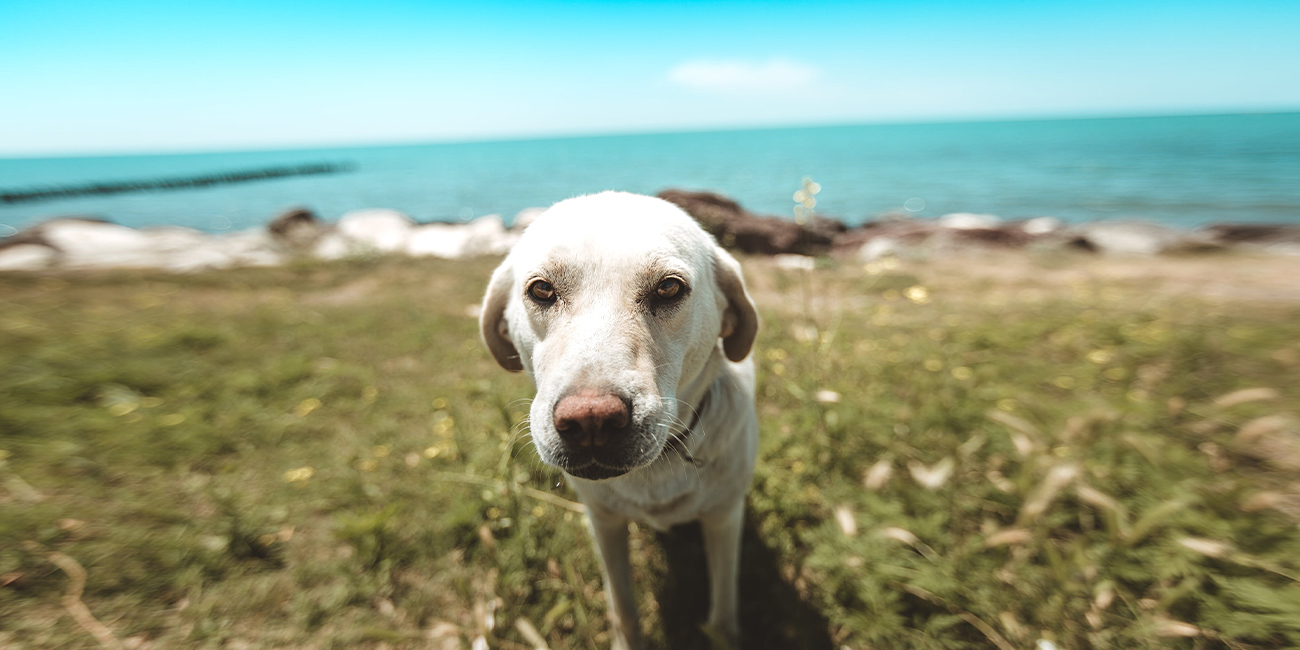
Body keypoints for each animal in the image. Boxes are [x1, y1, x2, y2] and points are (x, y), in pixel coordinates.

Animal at [480, 189, 759, 647]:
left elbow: (722, 615)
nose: (591, 421)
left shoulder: (723, 520)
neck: (656, 472)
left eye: (668, 287)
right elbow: (622, 607)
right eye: (542, 289)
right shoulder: (604, 522)